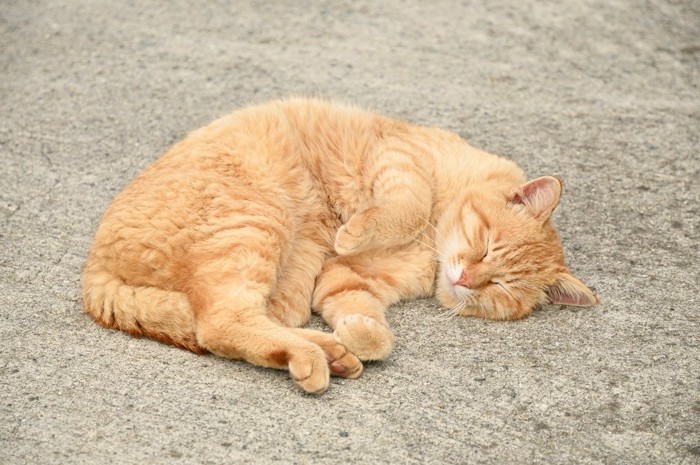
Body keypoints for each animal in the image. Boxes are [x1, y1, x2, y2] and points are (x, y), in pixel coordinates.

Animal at [80, 97, 596, 392]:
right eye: (488, 246)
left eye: (501, 288)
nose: (467, 279)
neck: (429, 247)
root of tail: (94, 275)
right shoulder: (399, 159)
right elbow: (406, 205)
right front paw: (355, 232)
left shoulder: (345, 277)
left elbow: (364, 317)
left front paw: (363, 336)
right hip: (255, 224)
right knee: (221, 325)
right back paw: (316, 357)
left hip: (282, 278)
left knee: (238, 325)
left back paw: (331, 352)